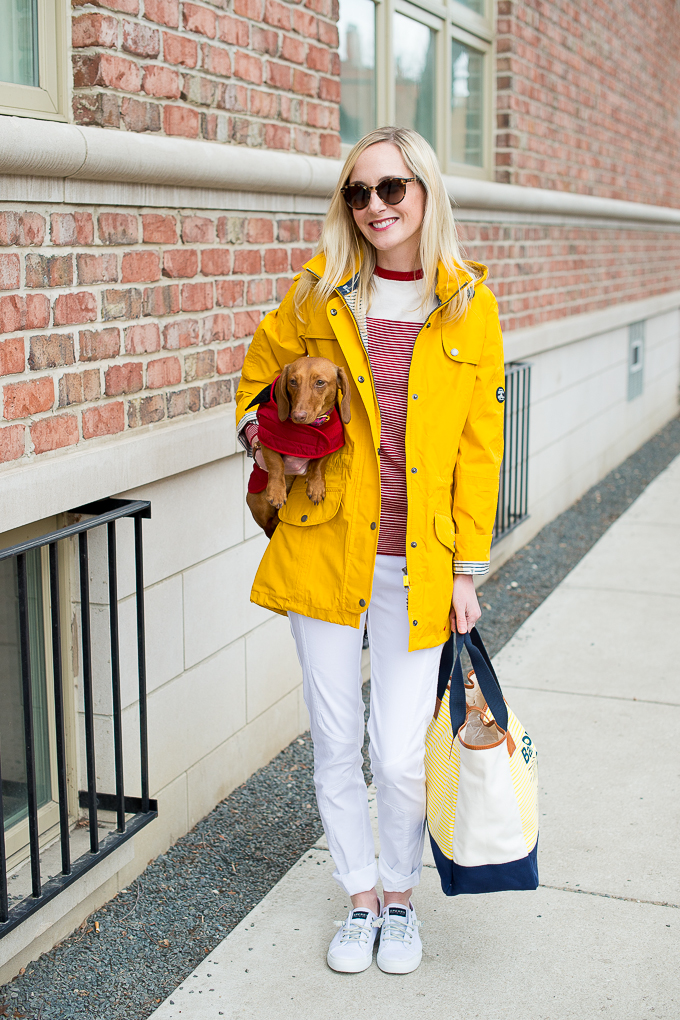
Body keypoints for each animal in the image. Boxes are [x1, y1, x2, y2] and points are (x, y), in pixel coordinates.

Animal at [245, 354, 350, 538]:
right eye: (293, 381)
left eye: (320, 382)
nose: (298, 416)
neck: (310, 427)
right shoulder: (268, 439)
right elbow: (276, 464)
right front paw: (277, 491)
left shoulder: (329, 444)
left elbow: (319, 464)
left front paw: (316, 486)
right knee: (268, 524)